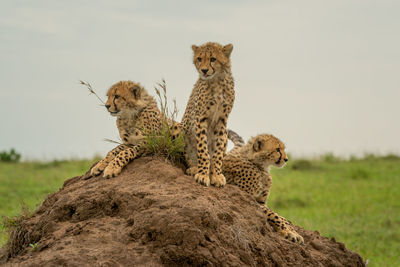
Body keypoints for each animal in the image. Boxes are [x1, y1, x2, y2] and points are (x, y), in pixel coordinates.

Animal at [181, 42, 234, 188]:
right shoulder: (200, 118)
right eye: (199, 59)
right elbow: (203, 150)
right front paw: (202, 174)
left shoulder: (222, 120)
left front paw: (216, 175)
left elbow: (217, 152)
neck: (217, 81)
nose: (204, 70)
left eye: (213, 59)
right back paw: (194, 168)